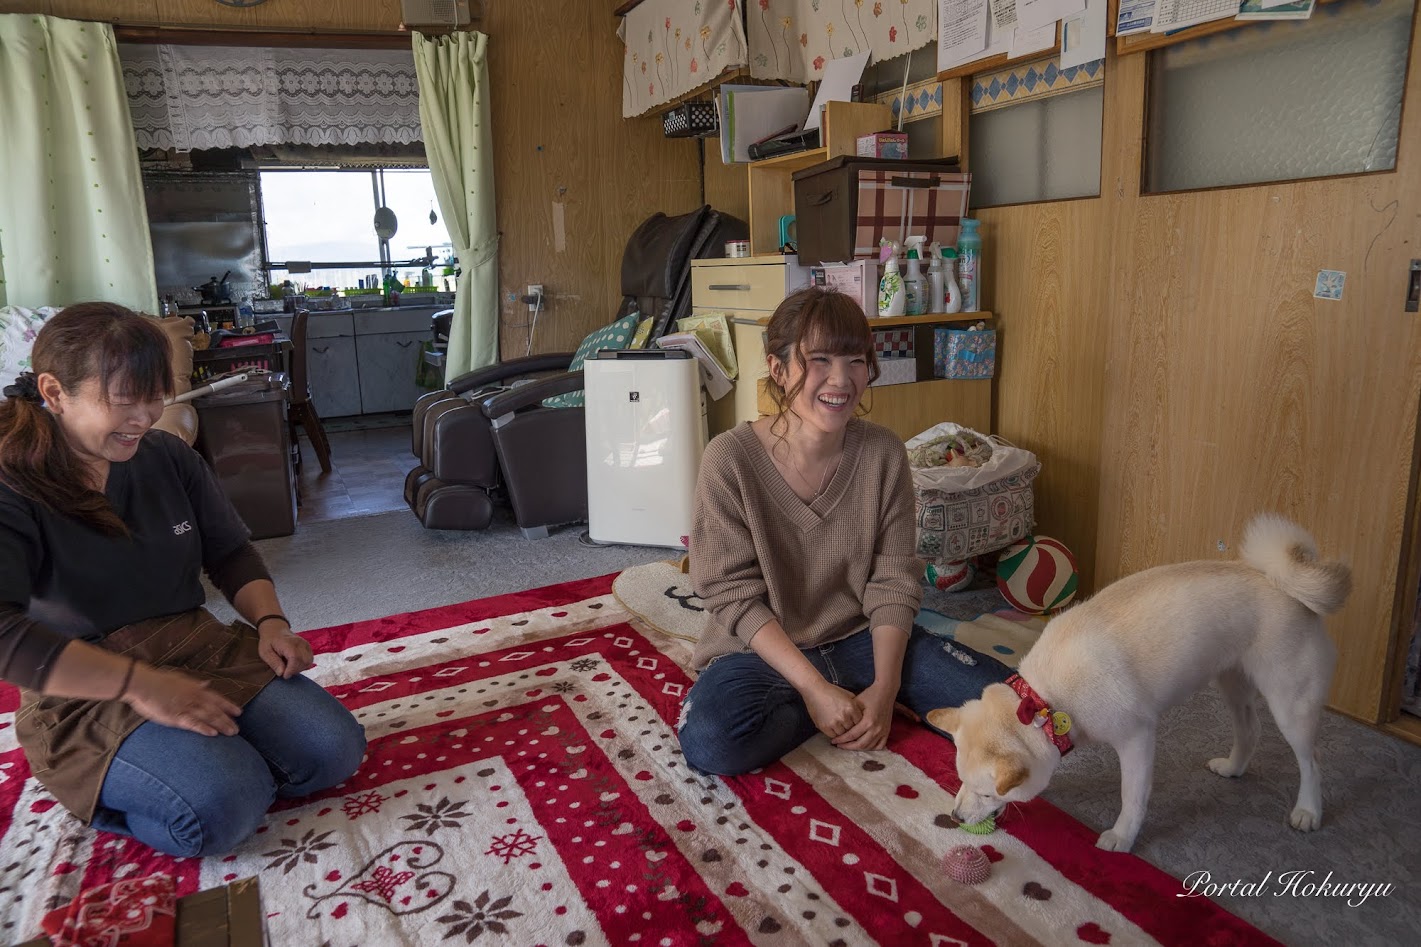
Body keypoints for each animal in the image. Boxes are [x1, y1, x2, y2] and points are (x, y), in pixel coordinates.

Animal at [926, 511, 1347, 853]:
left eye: (985, 793)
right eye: (960, 780)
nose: (957, 818)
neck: (1045, 699)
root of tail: (1279, 581)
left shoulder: (1137, 738)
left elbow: (1133, 797)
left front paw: (1123, 837)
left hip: (1290, 704)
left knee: (1312, 759)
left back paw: (1309, 810)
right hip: (1232, 685)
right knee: (1251, 730)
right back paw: (1233, 767)